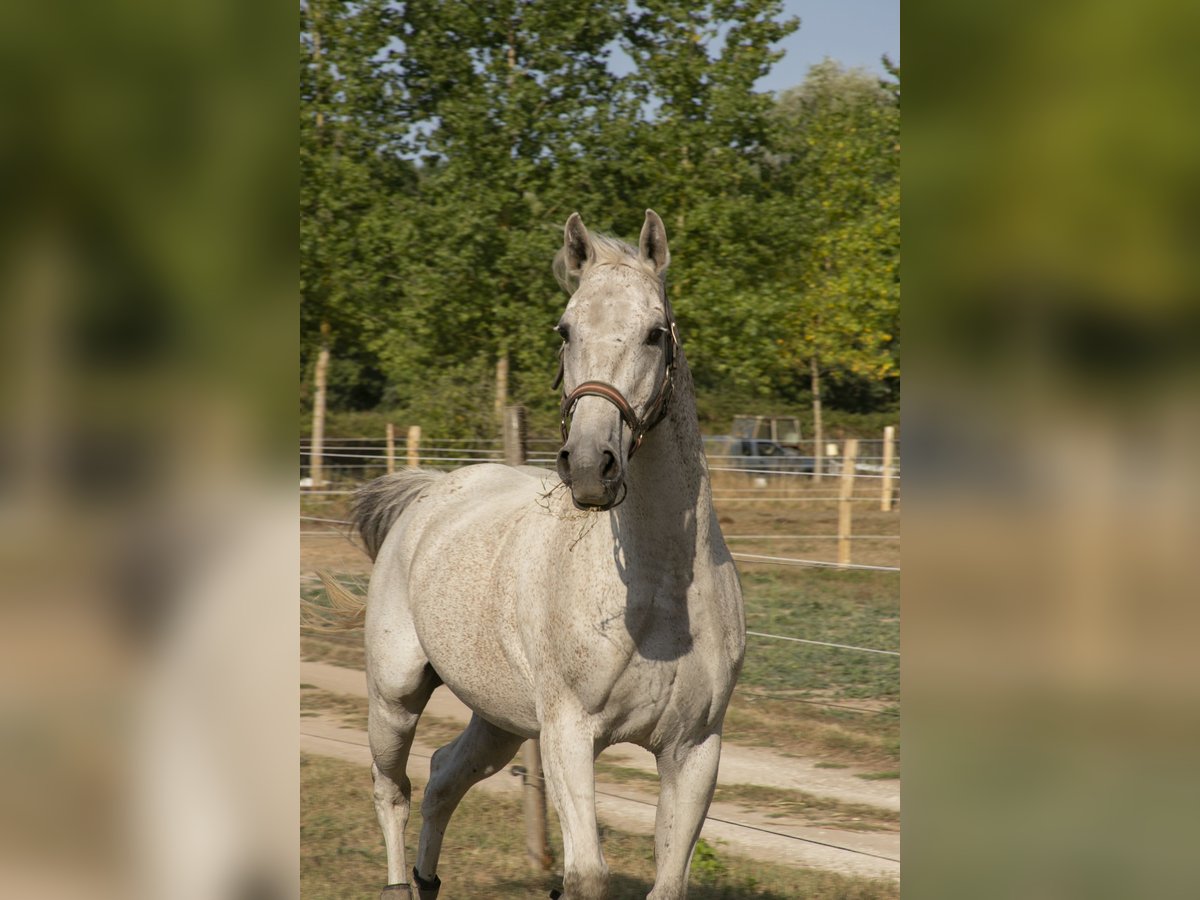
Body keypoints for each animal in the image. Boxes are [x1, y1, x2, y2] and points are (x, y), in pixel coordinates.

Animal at [343, 213, 744, 900]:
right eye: (565, 329)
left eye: (654, 332)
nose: (589, 466)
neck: (660, 590)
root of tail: (429, 492)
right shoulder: (568, 733)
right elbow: (585, 875)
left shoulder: (694, 750)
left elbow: (669, 882)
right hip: (394, 697)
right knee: (392, 790)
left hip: (498, 720)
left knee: (443, 775)